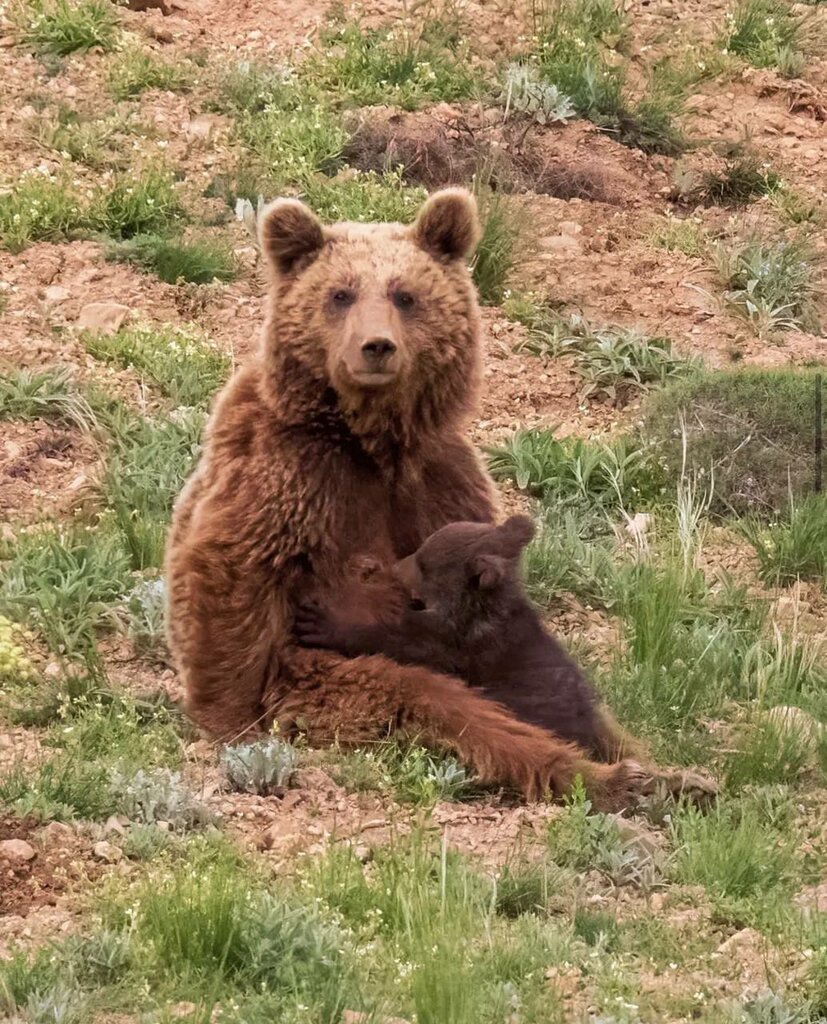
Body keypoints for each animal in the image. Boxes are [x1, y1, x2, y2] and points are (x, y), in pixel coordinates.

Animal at [164, 184, 687, 806]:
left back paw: (664, 770)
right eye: (340, 293)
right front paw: (229, 720)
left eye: (405, 294)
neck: (371, 440)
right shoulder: (290, 468)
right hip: (328, 678)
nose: (376, 346)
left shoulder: (439, 474)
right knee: (442, 702)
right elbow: (235, 561)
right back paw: (606, 777)